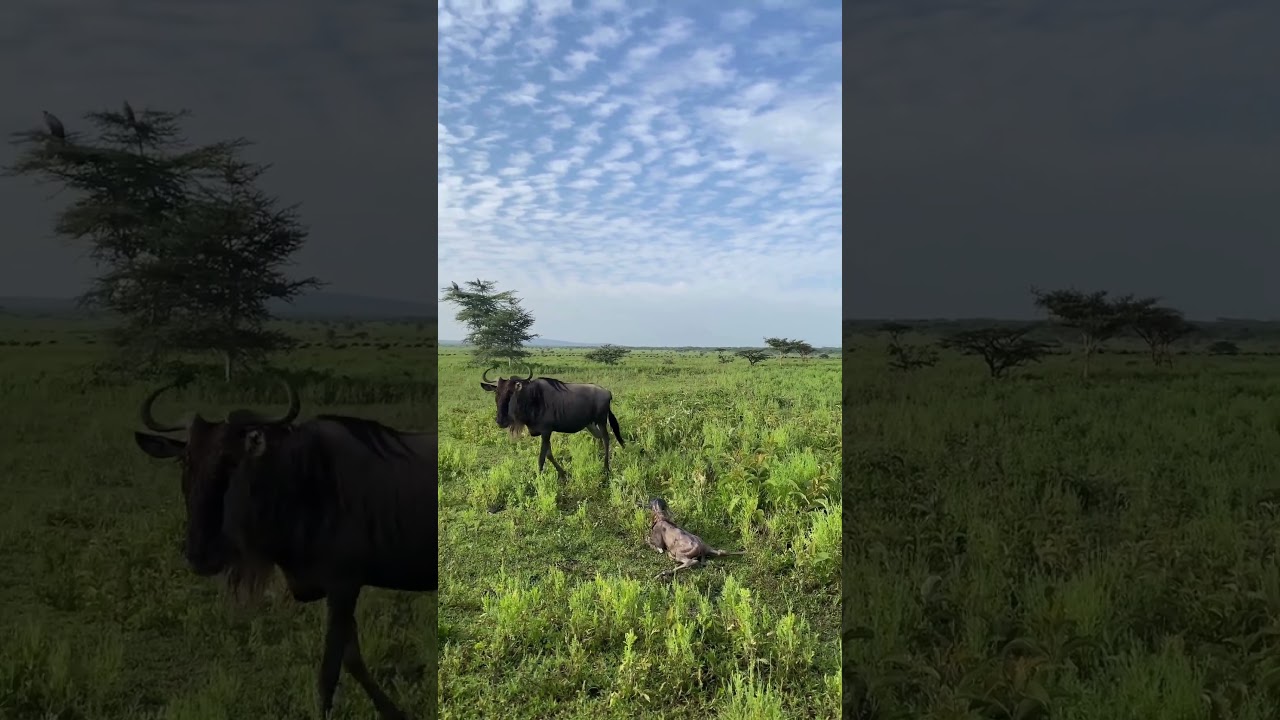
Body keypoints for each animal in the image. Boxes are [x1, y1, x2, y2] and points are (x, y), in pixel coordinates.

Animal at [132, 378, 435, 720]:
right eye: (185, 461)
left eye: (232, 461)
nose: (200, 556)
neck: (304, 486)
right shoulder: (337, 592)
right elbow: (352, 659)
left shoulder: (343, 587)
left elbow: (329, 673)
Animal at [479, 365, 624, 480]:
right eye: (496, 393)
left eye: (511, 393)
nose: (501, 421)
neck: (532, 399)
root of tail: (607, 392)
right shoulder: (543, 433)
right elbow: (549, 454)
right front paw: (563, 473)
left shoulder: (546, 431)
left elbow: (542, 457)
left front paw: (538, 479)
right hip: (590, 424)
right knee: (600, 437)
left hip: (601, 421)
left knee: (606, 439)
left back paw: (606, 467)